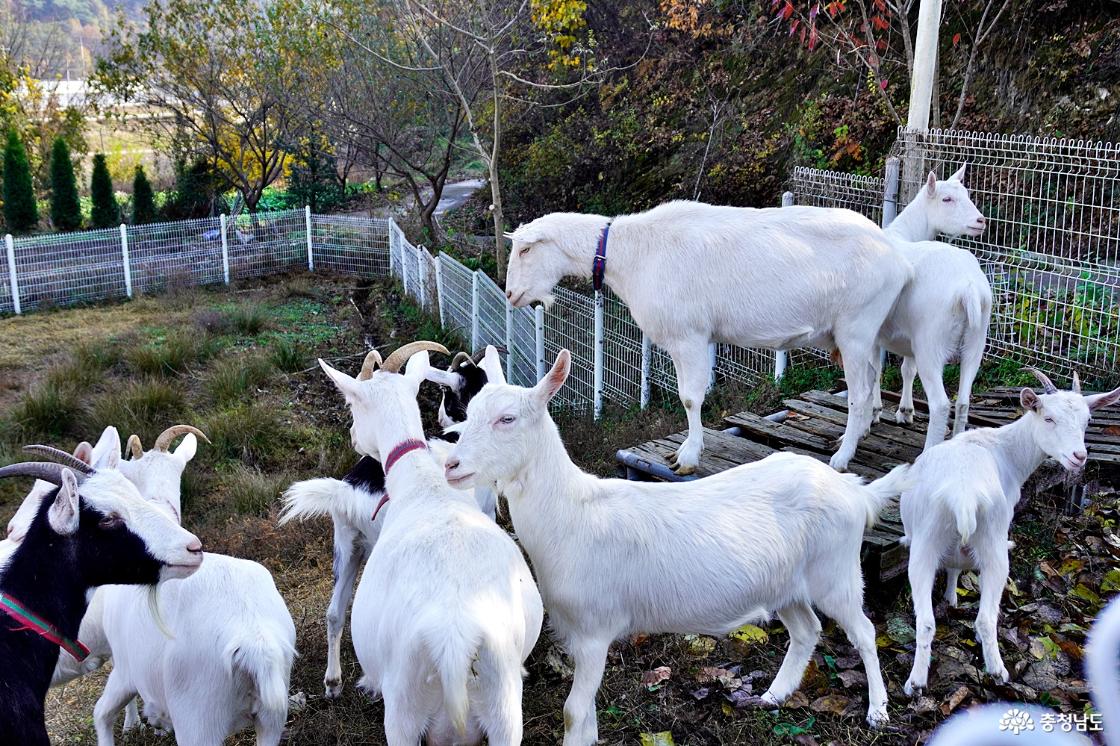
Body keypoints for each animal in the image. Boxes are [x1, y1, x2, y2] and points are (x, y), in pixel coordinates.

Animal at [318, 340, 544, 743]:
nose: (353, 436)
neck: (422, 480)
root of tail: (453, 645)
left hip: (347, 542)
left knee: (333, 611)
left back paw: (333, 683)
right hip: (418, 713)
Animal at [441, 344, 904, 739]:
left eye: (507, 419)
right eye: (469, 411)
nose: (451, 465)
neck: (572, 514)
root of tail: (856, 492)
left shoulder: (594, 629)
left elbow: (573, 711)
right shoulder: (577, 633)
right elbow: (586, 715)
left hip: (836, 571)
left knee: (863, 631)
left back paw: (878, 711)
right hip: (787, 583)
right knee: (807, 630)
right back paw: (773, 695)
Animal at [504, 197, 913, 470]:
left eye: (525, 249)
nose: (510, 294)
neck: (632, 252)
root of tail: (898, 256)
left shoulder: (689, 337)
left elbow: (689, 397)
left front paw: (687, 455)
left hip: (856, 327)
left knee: (858, 395)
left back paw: (842, 457)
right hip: (865, 331)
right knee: (872, 379)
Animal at [878, 163, 994, 443]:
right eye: (947, 198)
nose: (980, 221)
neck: (903, 235)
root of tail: (968, 287)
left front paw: (876, 411)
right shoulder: (908, 335)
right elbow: (907, 369)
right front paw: (905, 411)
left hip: (931, 342)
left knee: (941, 404)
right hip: (976, 340)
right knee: (963, 400)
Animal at [900, 365, 1120, 689]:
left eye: (1087, 421)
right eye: (1048, 418)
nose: (1078, 457)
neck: (1005, 449)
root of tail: (963, 497)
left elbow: (953, 565)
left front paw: (951, 598)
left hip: (927, 542)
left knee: (926, 621)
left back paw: (916, 682)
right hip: (993, 540)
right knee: (986, 617)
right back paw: (997, 672)